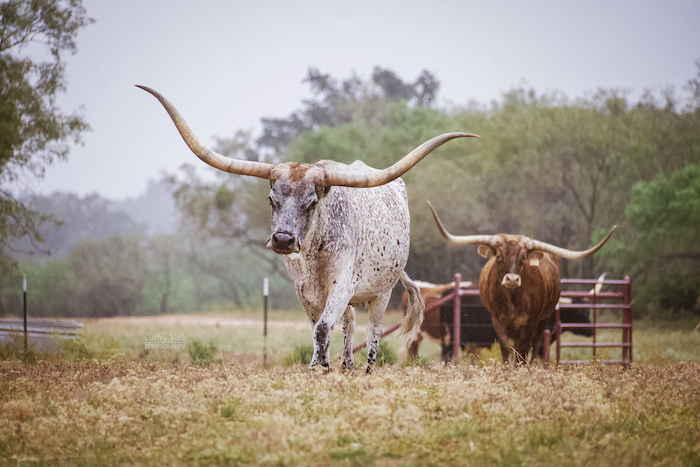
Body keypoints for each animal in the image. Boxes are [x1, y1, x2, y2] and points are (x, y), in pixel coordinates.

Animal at [137, 87, 478, 372]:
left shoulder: (343, 284)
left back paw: (367, 370)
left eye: (312, 202)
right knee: (350, 323)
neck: (315, 254)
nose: (283, 239)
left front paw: (318, 368)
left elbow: (324, 328)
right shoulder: (305, 292)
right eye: (271, 198)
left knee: (373, 330)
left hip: (382, 292)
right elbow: (319, 328)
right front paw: (322, 365)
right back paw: (347, 365)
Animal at [426, 201, 612, 366]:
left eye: (523, 258)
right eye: (499, 256)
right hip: (455, 337)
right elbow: (507, 350)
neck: (512, 300)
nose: (512, 279)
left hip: (538, 323)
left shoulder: (531, 324)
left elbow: (523, 352)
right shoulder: (498, 322)